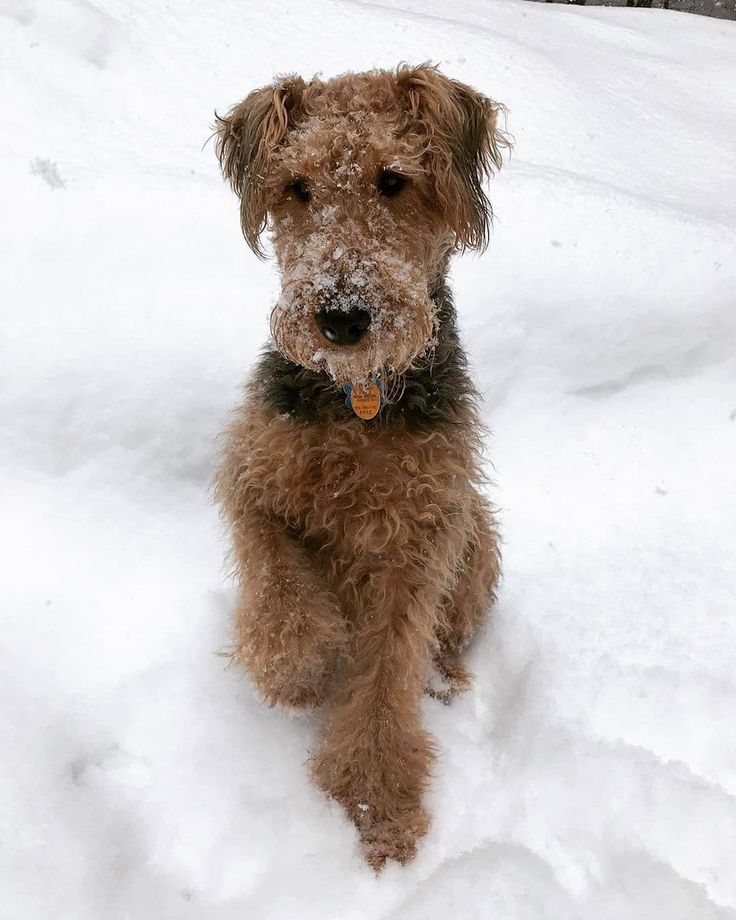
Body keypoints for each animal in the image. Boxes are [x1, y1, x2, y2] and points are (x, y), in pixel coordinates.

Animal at [214, 64, 506, 868]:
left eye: (393, 179)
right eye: (298, 186)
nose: (342, 319)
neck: (358, 401)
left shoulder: (417, 542)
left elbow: (385, 680)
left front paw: (379, 807)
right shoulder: (250, 476)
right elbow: (279, 588)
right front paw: (297, 669)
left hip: (476, 535)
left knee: (443, 645)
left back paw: (445, 682)